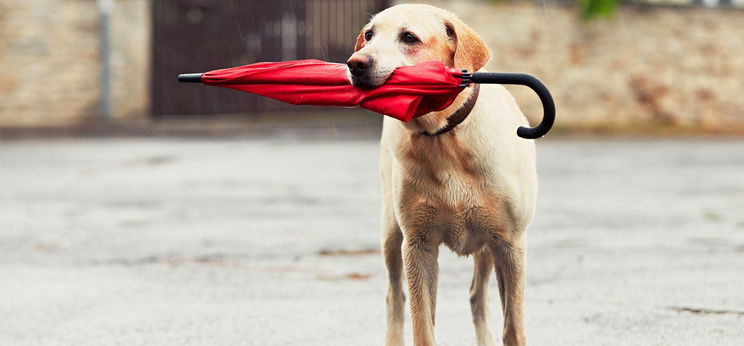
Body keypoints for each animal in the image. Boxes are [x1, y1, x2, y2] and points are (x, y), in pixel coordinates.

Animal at [348, 3, 536, 346]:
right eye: (368, 35)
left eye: (409, 37)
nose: (355, 63)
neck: (444, 137)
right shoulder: (418, 245)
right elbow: (423, 325)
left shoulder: (510, 243)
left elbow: (513, 326)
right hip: (391, 232)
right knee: (394, 296)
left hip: (487, 245)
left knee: (477, 295)